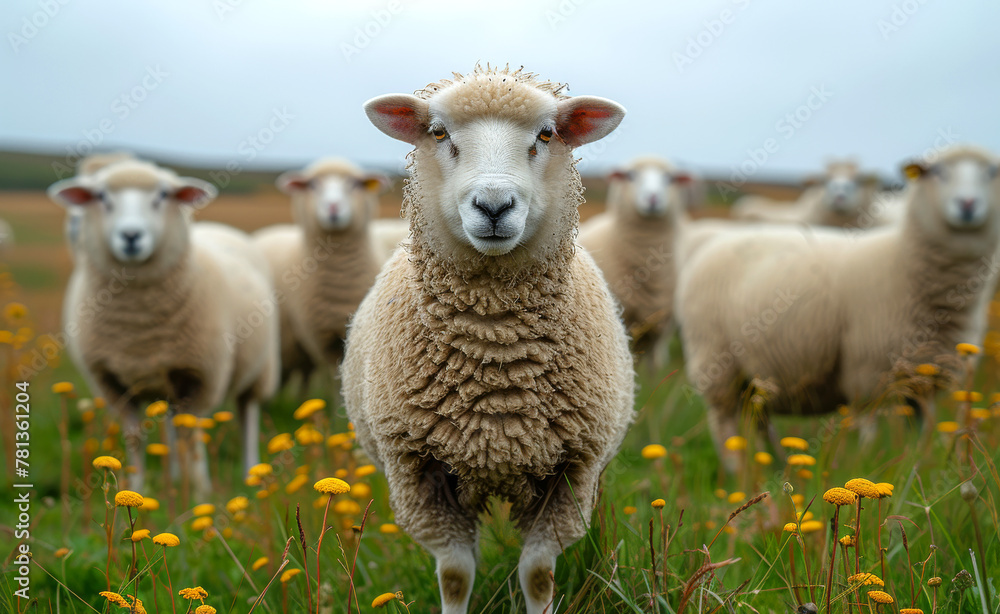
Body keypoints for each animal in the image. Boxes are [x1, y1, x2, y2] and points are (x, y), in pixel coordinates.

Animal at [49, 159, 280, 495]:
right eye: (102, 197)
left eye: (161, 196)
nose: (131, 235)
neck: (140, 327)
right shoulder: (112, 383)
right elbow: (134, 438)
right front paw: (137, 488)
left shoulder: (200, 375)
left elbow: (192, 437)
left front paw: (200, 492)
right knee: (172, 425)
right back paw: (173, 475)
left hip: (259, 368)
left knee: (248, 414)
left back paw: (251, 472)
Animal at [252, 157, 390, 397]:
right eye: (313, 185)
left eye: (354, 184)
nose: (333, 207)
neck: (341, 276)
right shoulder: (322, 338)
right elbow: (336, 378)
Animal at [342, 65, 634, 614]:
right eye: (439, 134)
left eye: (547, 135)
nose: (494, 206)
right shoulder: (419, 473)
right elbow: (456, 576)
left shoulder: (573, 471)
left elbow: (538, 574)